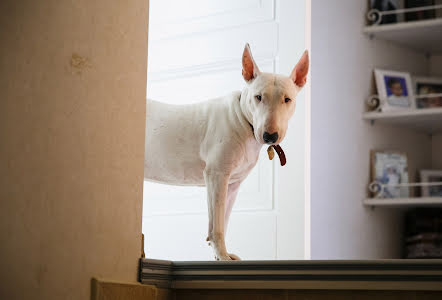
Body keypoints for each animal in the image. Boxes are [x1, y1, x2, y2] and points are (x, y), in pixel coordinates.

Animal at [144, 44, 308, 260]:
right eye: (258, 97)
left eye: (287, 99)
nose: (270, 136)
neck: (243, 121)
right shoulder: (217, 175)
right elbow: (218, 225)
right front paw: (221, 256)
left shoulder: (231, 184)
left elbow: (224, 219)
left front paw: (220, 255)